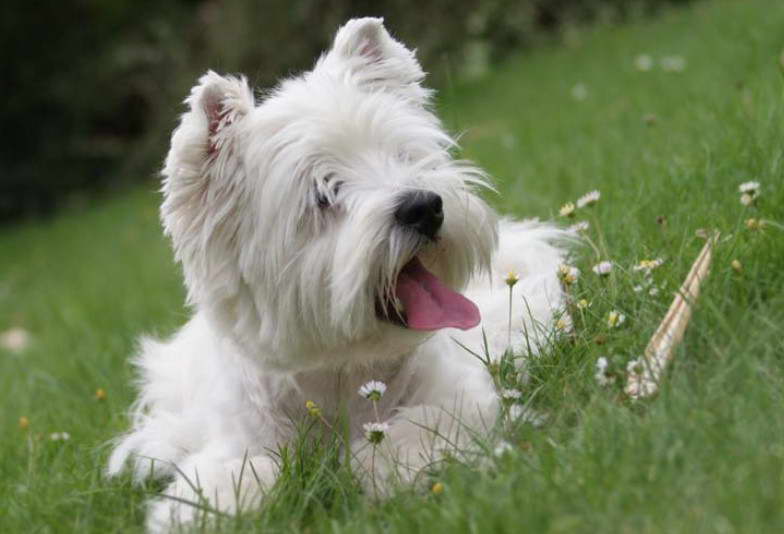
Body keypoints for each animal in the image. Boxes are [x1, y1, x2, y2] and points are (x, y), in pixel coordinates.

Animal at [107, 16, 568, 532]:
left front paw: (384, 472)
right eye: (324, 193)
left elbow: (417, 430)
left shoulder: (462, 395)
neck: (340, 375)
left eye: (402, 156)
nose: (424, 207)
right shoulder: (234, 446)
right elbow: (238, 476)